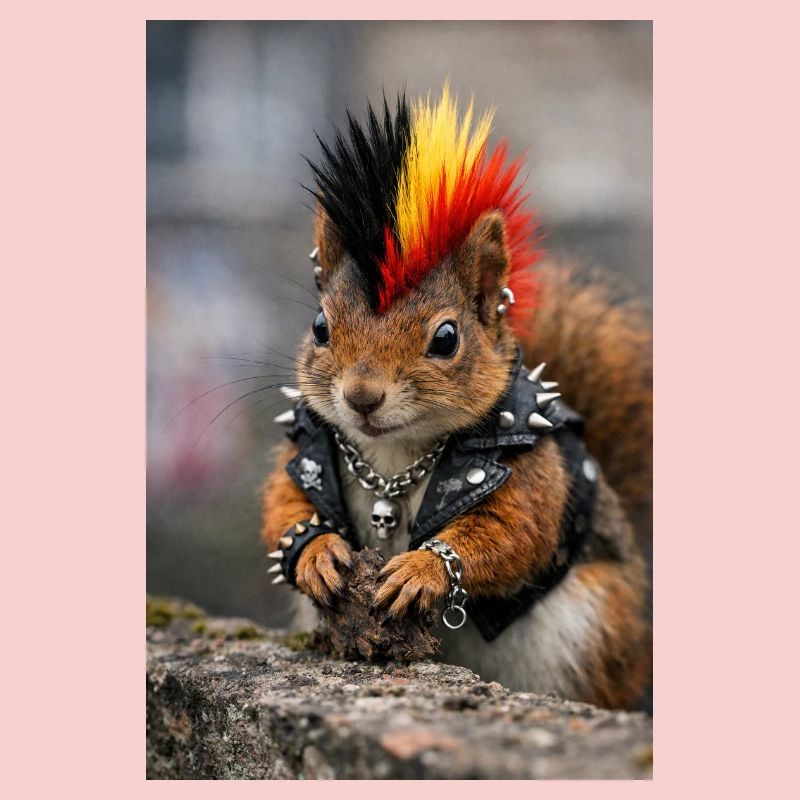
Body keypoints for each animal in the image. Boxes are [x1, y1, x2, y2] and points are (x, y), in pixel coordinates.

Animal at [261, 85, 652, 710]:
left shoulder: (531, 471)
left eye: (446, 338)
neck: (395, 457)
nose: (362, 396)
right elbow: (284, 503)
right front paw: (317, 551)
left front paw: (423, 568)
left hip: (591, 635)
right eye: (320, 326)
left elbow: (511, 530)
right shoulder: (308, 444)